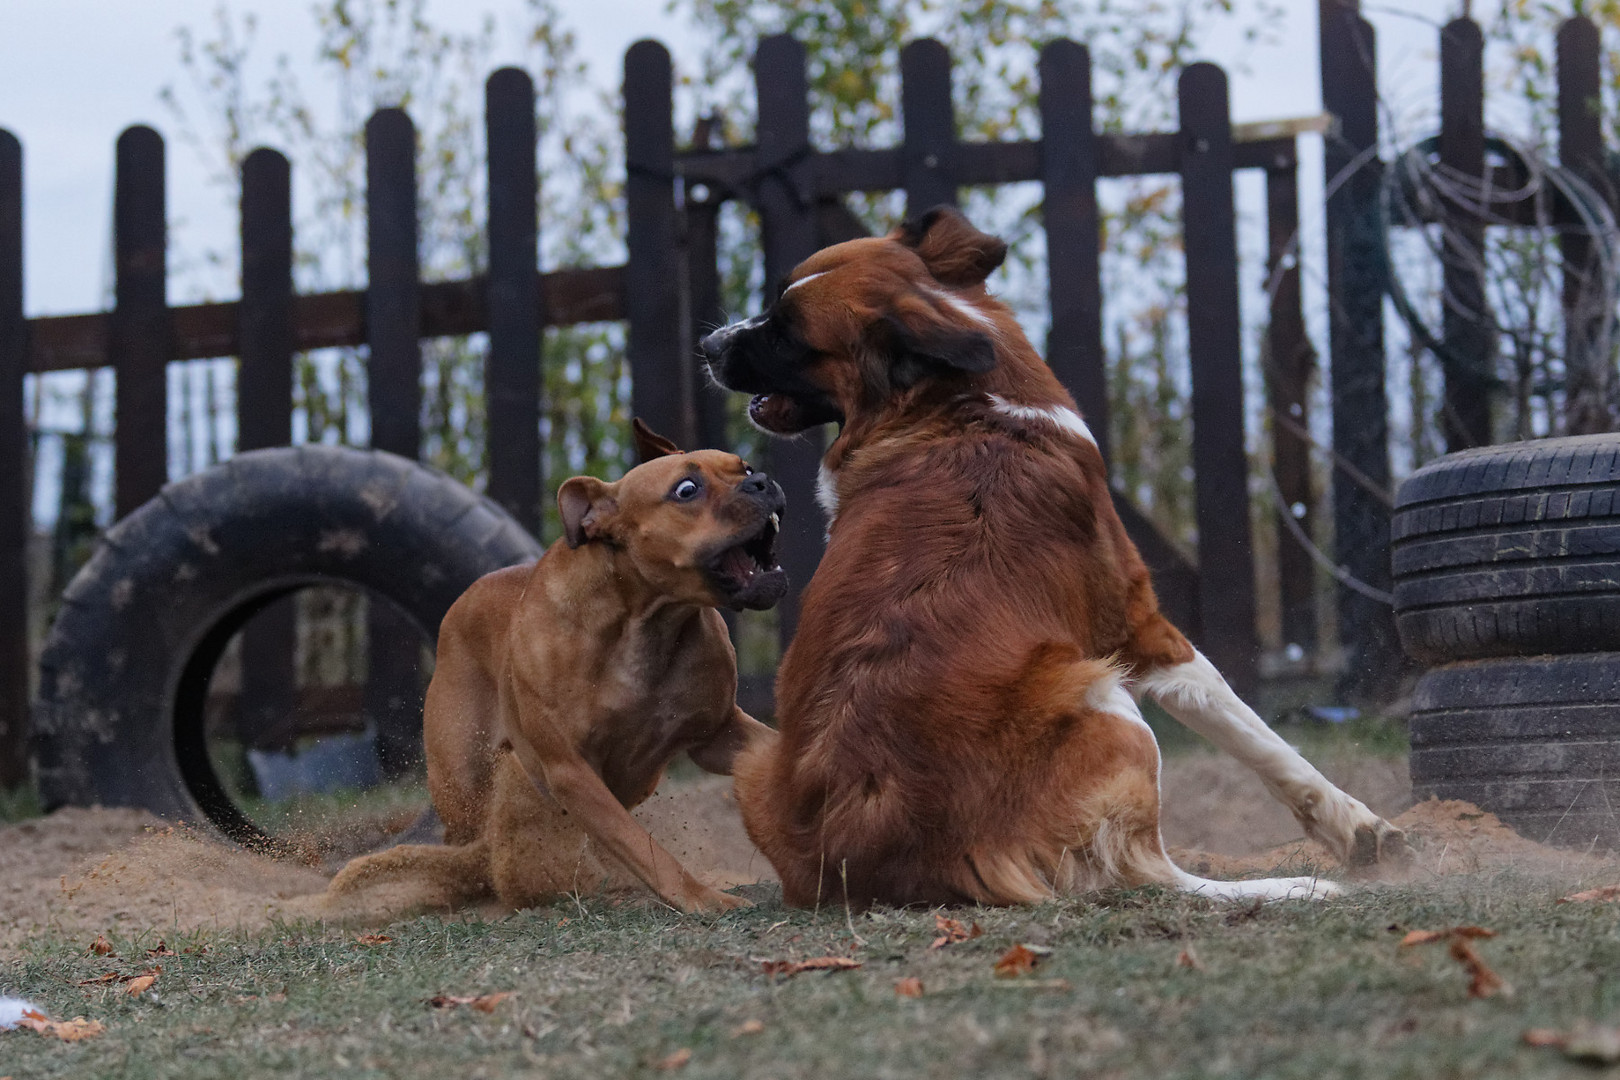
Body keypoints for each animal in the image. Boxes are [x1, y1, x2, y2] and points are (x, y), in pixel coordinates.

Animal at [325, 420, 780, 913]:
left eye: (744, 467)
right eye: (687, 489)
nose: (762, 481)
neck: (646, 626)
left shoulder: (718, 734)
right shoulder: (573, 773)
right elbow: (644, 847)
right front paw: (704, 898)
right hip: (462, 783)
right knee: (467, 844)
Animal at [703, 207, 1412, 906]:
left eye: (786, 333)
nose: (710, 347)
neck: (968, 406)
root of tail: (866, 847)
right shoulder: (1139, 624)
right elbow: (1255, 733)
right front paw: (1359, 829)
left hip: (758, 762)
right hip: (1103, 698)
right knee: (1143, 871)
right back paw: (1292, 886)